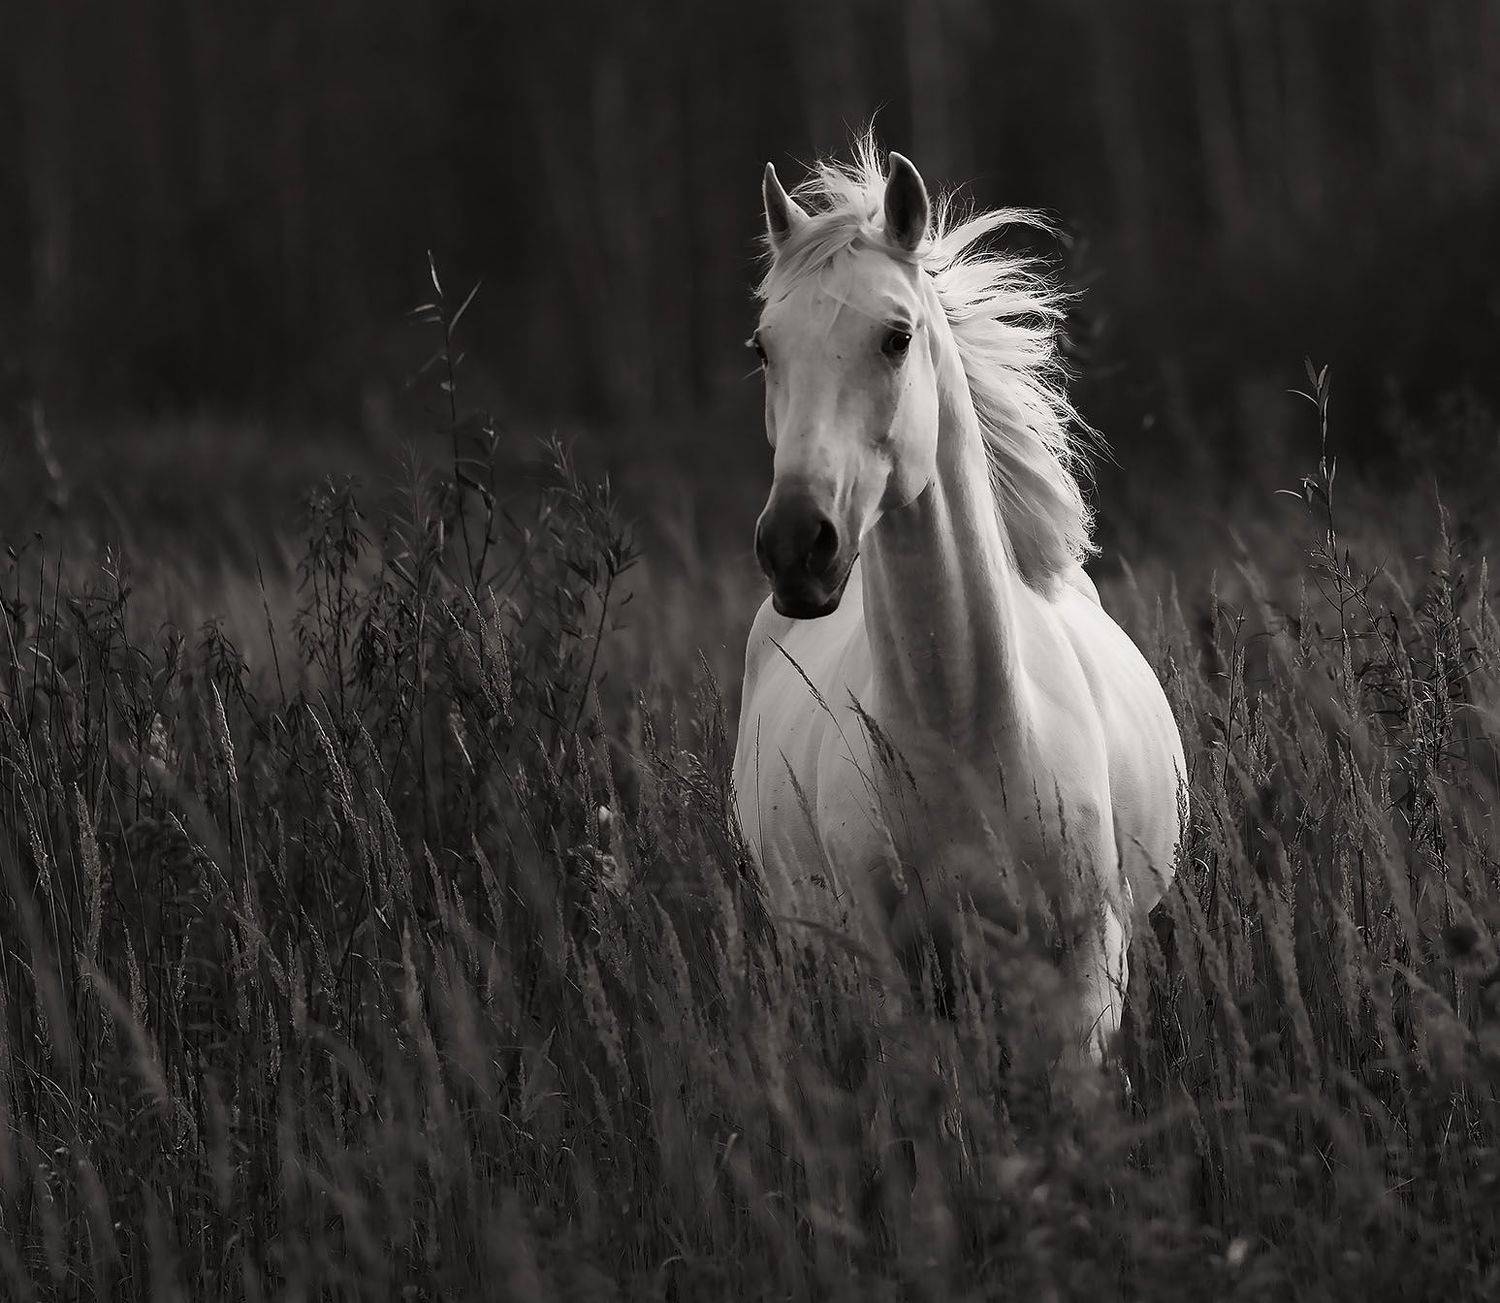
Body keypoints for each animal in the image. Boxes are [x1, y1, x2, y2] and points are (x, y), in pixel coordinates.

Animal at [732, 138, 1186, 1066]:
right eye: (764, 348)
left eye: (896, 337)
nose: (796, 547)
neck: (965, 731)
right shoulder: (894, 978)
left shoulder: (1089, 969)